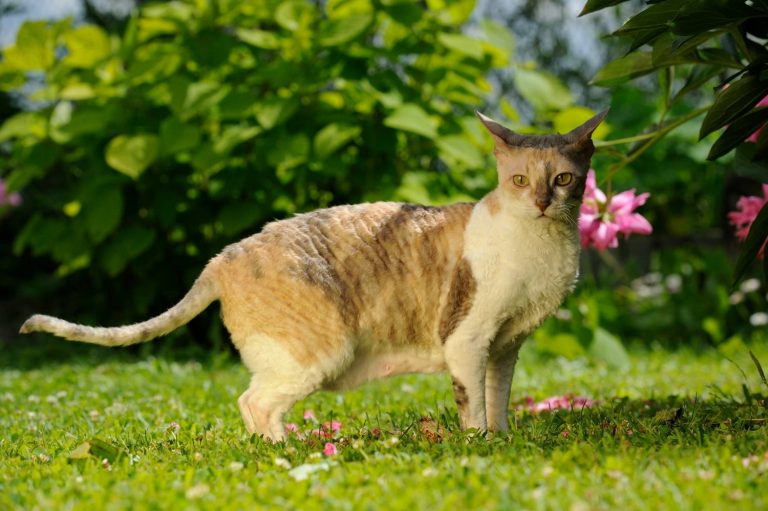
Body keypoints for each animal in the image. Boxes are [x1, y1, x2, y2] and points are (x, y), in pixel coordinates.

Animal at [18, 110, 608, 442]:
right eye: (519, 181)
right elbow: (473, 407)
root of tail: (221, 258)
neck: (543, 249)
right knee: (252, 402)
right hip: (321, 352)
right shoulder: (468, 340)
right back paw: (286, 454)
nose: (540, 203)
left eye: (562, 180)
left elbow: (498, 399)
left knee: (252, 403)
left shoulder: (505, 347)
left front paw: (505, 441)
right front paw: (480, 446)